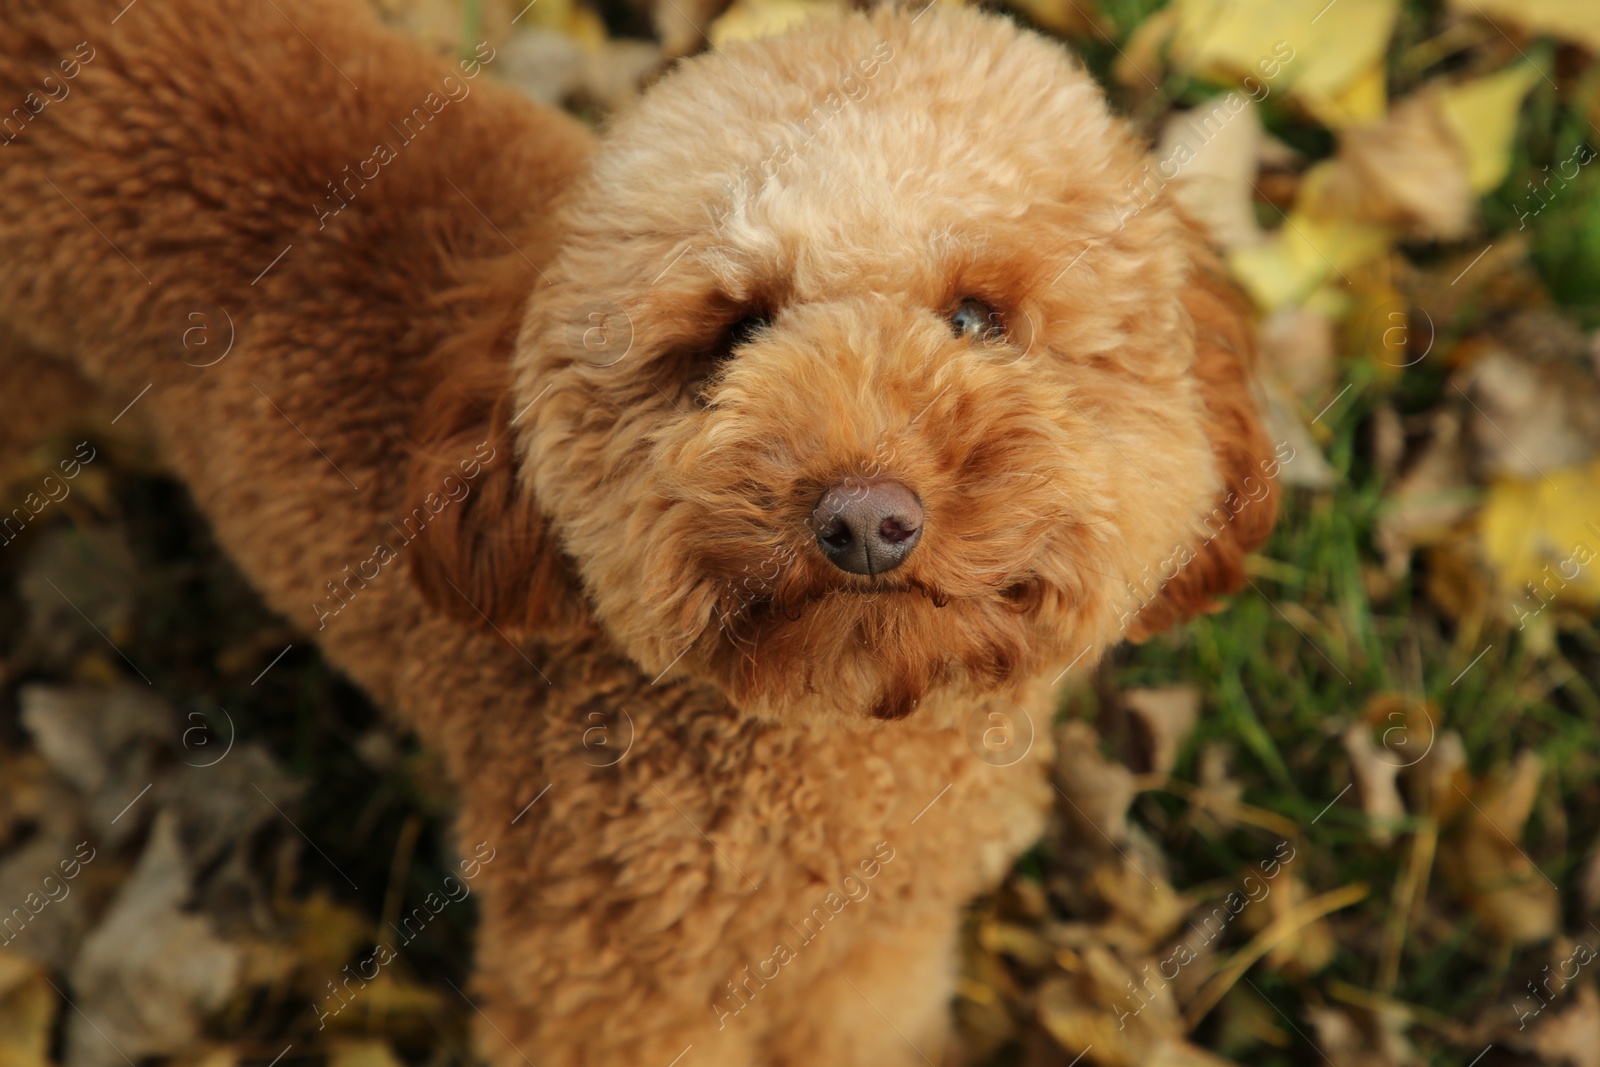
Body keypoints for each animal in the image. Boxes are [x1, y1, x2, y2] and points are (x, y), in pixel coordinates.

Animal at [0, 2, 1273, 1062]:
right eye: (730, 334)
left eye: (977, 316)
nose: (864, 520)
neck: (836, 739)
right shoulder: (611, 987)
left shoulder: (874, 951)